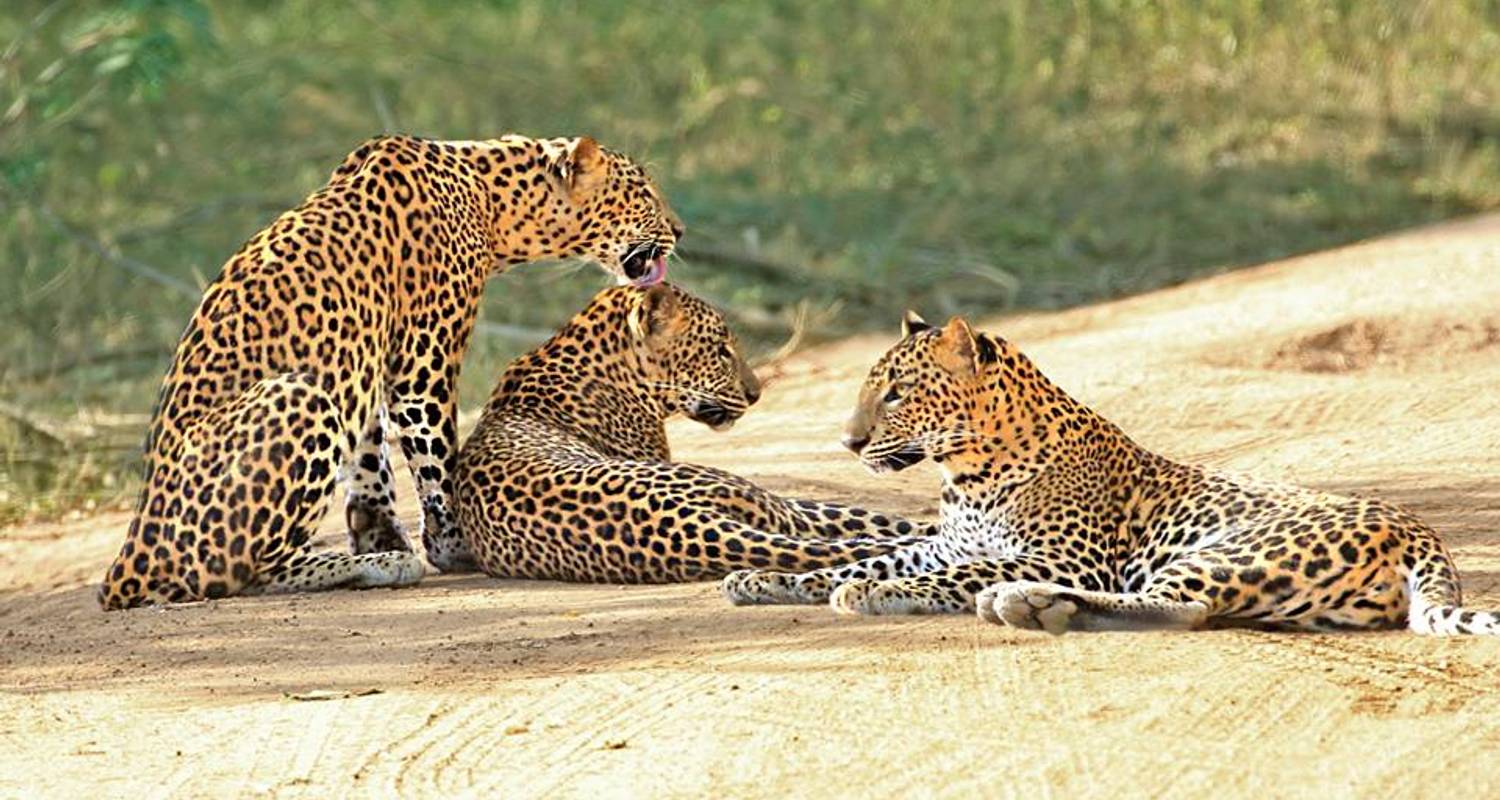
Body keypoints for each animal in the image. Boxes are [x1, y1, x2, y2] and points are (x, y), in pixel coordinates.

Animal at [104, 131, 687, 609]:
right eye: (644, 193)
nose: (681, 230)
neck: (491, 198)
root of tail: (129, 558)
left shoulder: (365, 362)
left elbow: (370, 456)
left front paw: (378, 529)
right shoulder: (423, 359)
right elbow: (435, 456)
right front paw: (452, 546)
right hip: (300, 395)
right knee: (246, 571)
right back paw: (376, 567)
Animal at [720, 312, 1494, 636]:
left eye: (898, 394)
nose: (846, 442)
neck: (965, 472)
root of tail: (1419, 529)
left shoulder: (1056, 557)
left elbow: (935, 575)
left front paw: (880, 595)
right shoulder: (945, 541)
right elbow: (864, 559)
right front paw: (765, 580)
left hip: (1225, 552)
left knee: (1183, 607)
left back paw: (1025, 604)